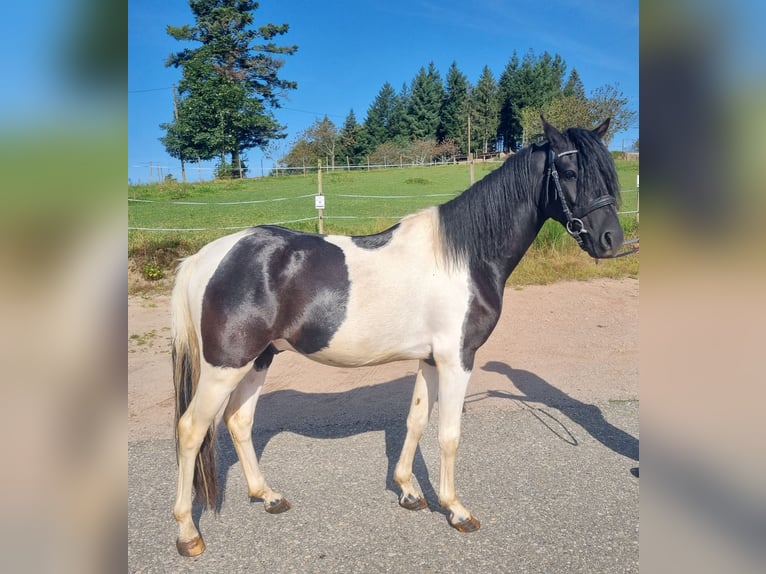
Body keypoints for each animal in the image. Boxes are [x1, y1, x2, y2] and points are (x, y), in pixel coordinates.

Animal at [170, 118, 624, 560]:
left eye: (609, 172)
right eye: (569, 172)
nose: (612, 241)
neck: (464, 256)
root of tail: (205, 257)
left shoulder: (430, 359)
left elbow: (416, 420)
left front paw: (408, 491)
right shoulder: (457, 358)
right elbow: (448, 434)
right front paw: (456, 510)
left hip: (258, 359)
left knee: (238, 421)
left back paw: (268, 496)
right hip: (225, 365)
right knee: (191, 430)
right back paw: (188, 534)